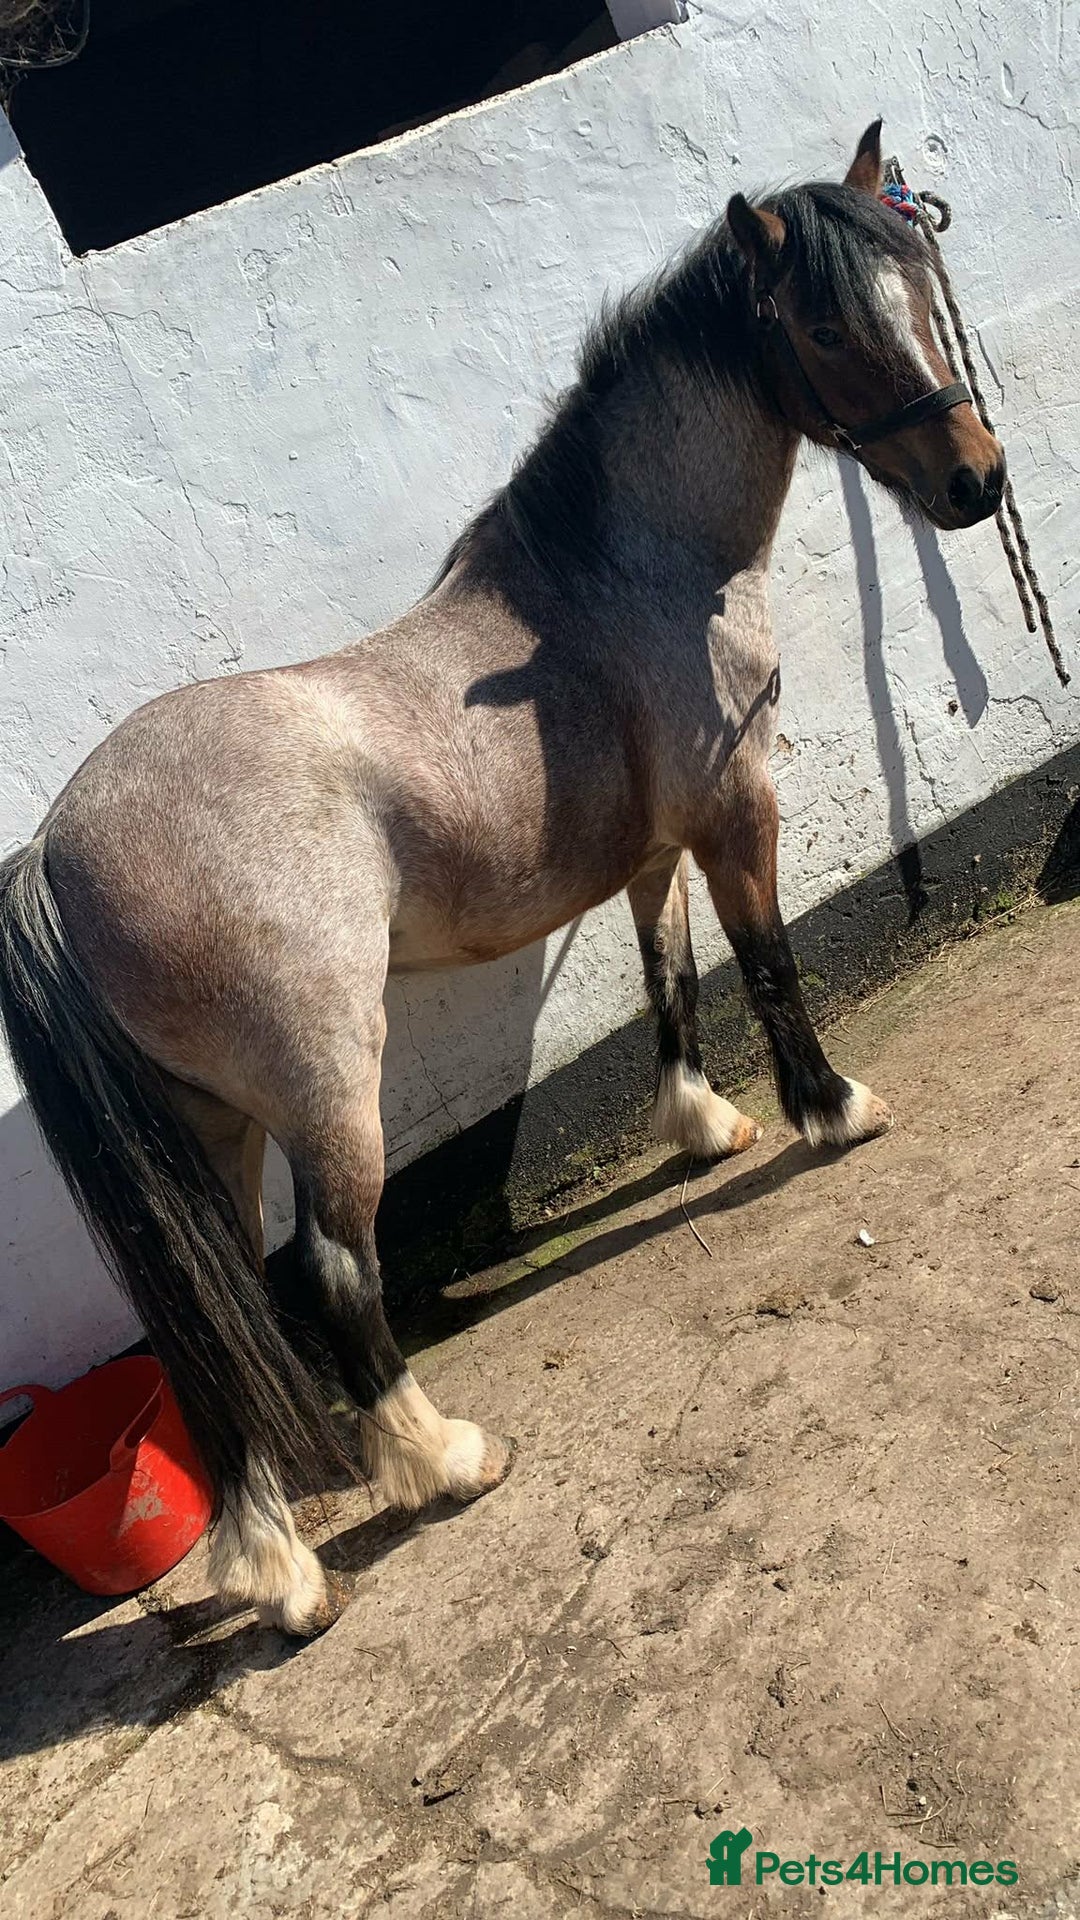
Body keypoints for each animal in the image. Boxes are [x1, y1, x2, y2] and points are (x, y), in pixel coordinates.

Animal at [0, 122, 1004, 1634]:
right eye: (827, 323)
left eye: (924, 279)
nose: (976, 484)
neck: (617, 579)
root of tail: (53, 852)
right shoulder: (740, 812)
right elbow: (768, 963)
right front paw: (834, 1110)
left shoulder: (654, 854)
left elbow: (670, 980)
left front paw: (705, 1126)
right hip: (325, 1088)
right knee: (337, 1272)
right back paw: (443, 1461)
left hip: (211, 1136)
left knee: (217, 1328)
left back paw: (279, 1571)